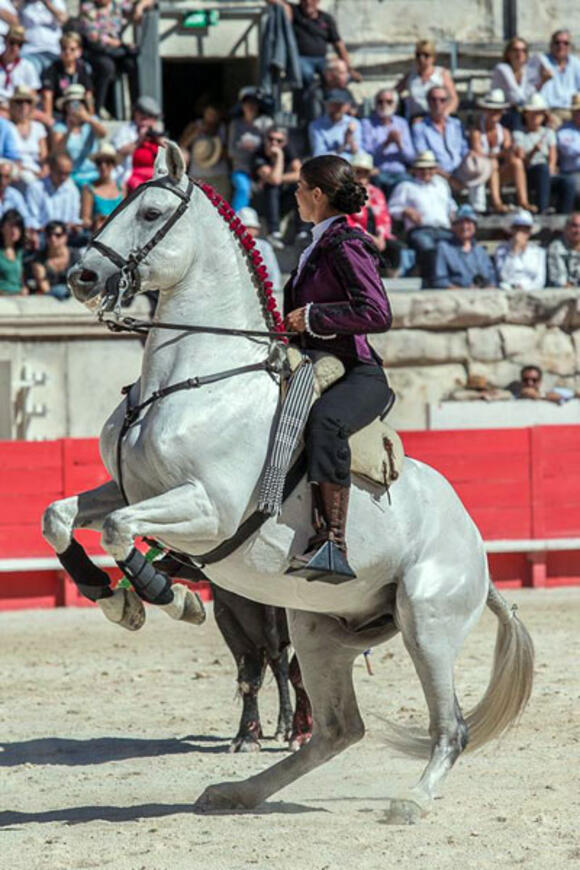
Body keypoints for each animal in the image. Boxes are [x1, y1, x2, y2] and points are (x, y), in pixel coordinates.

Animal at [43, 141, 536, 824]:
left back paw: (410, 801)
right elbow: (60, 516)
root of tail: (481, 557)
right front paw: (113, 598)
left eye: (149, 212)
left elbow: (118, 531)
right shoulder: (129, 489)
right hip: (320, 630)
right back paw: (237, 791)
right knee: (337, 729)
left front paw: (168, 595)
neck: (199, 377)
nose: (82, 278)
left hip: (428, 619)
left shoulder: (207, 510)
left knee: (450, 726)